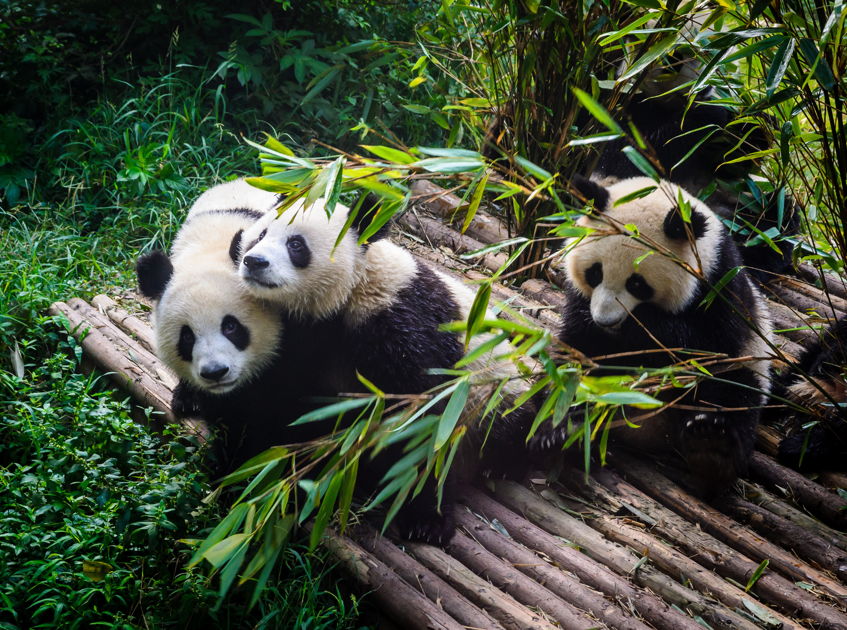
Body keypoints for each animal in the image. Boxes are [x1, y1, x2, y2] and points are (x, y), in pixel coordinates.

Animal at [229, 194, 537, 542]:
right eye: (260, 235)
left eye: (296, 244)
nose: (254, 261)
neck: (353, 290)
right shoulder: (302, 337)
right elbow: (285, 402)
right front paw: (261, 468)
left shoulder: (400, 321)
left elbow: (421, 417)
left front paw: (427, 521)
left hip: (494, 388)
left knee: (510, 422)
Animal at [531, 176, 774, 496]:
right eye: (595, 273)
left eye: (637, 283)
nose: (606, 320)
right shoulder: (579, 305)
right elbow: (579, 346)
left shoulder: (722, 287)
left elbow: (704, 345)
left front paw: (643, 327)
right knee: (564, 383)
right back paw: (563, 433)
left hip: (746, 365)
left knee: (734, 395)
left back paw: (711, 448)